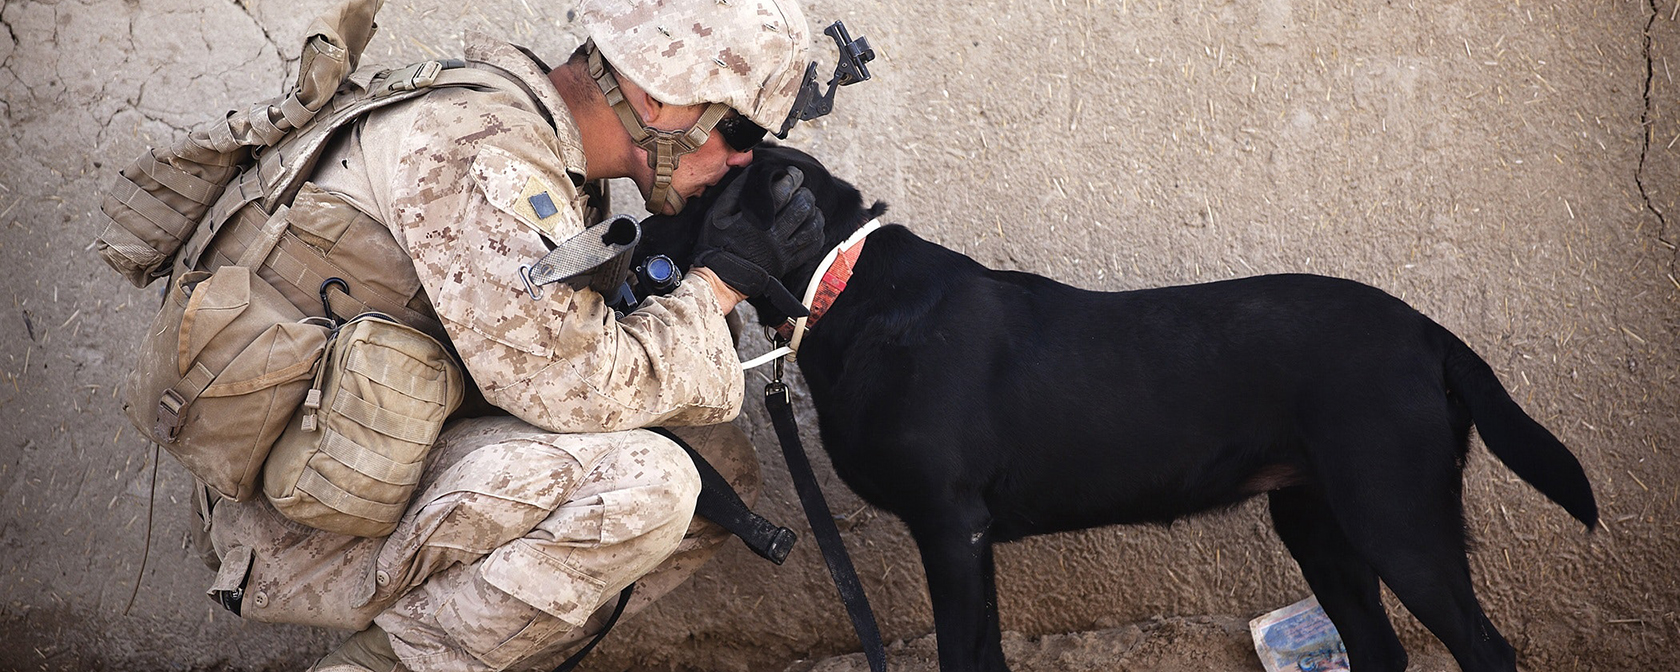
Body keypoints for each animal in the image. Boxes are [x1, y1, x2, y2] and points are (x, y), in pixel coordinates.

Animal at [635, 145, 1592, 672]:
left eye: (690, 200)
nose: (622, 231)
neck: (844, 285)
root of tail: (1428, 329)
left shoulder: (950, 528)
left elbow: (960, 653)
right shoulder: (971, 540)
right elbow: (986, 655)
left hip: (1398, 517)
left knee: (1483, 648)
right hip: (1315, 519)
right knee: (1381, 650)